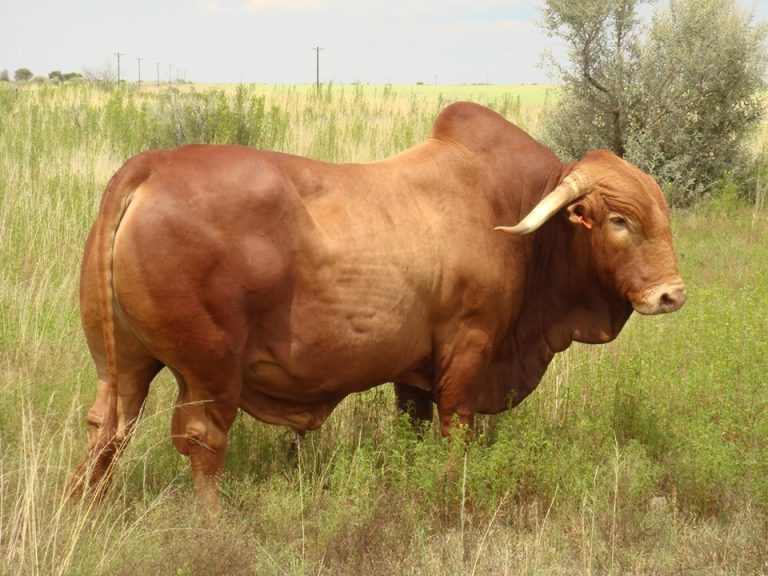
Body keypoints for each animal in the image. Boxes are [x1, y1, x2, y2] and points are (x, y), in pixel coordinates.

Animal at [72, 102, 685, 508]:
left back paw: (87, 512)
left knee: (107, 429)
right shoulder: (468, 348)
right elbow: (455, 432)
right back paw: (211, 524)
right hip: (210, 371)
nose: (671, 294)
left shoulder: (413, 371)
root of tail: (154, 165)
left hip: (124, 364)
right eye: (619, 220)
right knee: (202, 441)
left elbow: (412, 430)